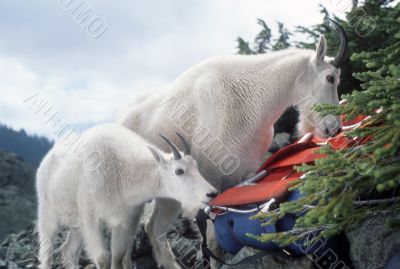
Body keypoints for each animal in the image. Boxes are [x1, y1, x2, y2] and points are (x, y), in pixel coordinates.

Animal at [35, 123, 216, 268]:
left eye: (196, 167)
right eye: (179, 171)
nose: (212, 193)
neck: (124, 174)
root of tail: (46, 159)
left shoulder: (124, 221)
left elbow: (118, 256)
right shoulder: (90, 218)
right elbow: (103, 258)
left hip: (76, 223)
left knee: (69, 250)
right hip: (48, 212)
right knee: (46, 247)